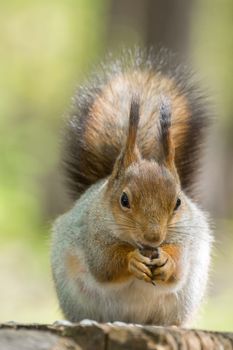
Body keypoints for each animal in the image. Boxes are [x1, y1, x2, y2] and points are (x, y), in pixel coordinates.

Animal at [51, 47, 213, 326]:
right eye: (124, 200)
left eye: (178, 202)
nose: (154, 237)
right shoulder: (90, 233)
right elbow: (104, 265)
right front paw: (132, 260)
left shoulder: (186, 236)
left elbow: (178, 268)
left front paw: (168, 261)